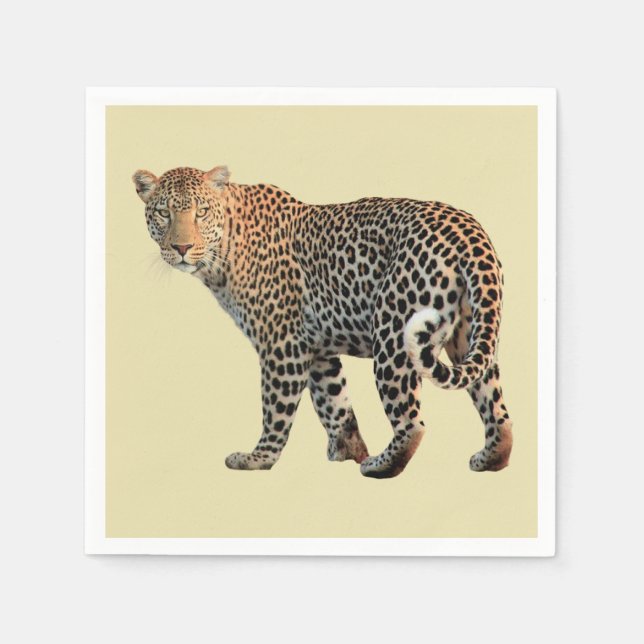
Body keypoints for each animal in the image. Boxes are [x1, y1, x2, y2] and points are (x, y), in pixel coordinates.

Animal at [133, 165, 513, 479]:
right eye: (164, 213)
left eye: (201, 212)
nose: (182, 248)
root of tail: (468, 231)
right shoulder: (316, 348)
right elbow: (335, 403)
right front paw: (348, 451)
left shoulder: (282, 344)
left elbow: (276, 407)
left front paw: (259, 458)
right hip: (471, 332)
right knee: (496, 407)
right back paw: (490, 459)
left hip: (393, 334)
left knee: (412, 423)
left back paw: (380, 466)